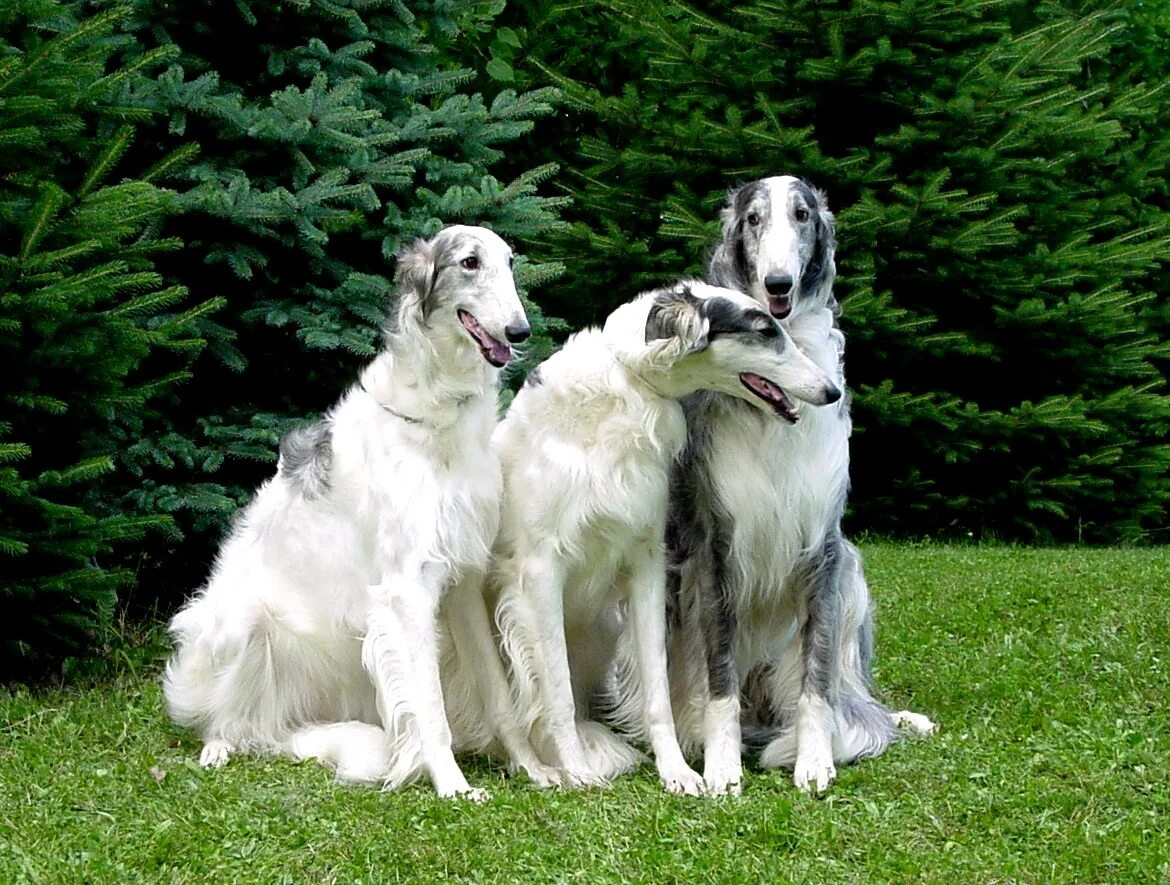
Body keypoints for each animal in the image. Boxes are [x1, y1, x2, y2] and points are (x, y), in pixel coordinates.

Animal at [160, 224, 552, 800]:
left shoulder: (462, 575)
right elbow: (430, 710)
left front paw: (532, 767)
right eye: (469, 262)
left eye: (509, 263)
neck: (436, 414)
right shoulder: (407, 589)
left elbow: (498, 694)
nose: (520, 330)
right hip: (239, 621)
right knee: (226, 718)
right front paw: (453, 787)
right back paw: (217, 745)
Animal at [484, 283, 842, 796]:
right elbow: (556, 693)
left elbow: (657, 691)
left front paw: (678, 772)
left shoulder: (647, 563)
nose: (832, 391)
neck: (629, 379)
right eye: (763, 331)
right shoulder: (540, 570)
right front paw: (577, 770)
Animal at [655, 174, 935, 796]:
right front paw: (723, 766)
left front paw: (814, 760)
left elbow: (818, 681)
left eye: (803, 215)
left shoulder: (824, 548)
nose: (777, 284)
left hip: (852, 574)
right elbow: (720, 683)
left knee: (855, 694)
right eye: (753, 219)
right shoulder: (714, 550)